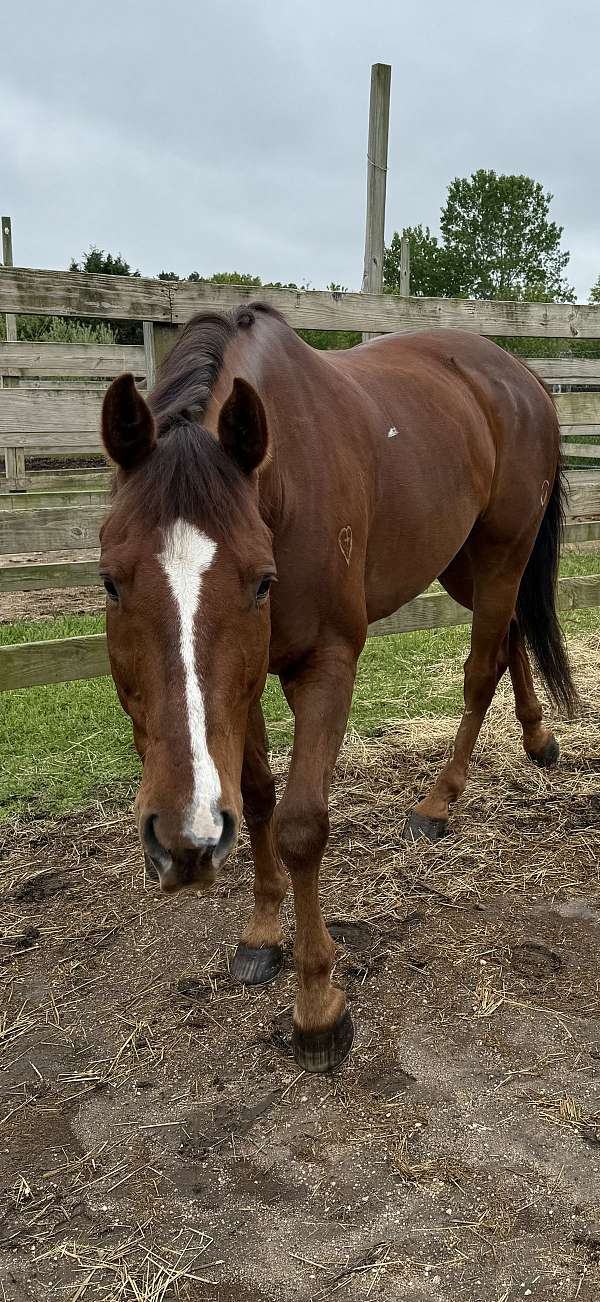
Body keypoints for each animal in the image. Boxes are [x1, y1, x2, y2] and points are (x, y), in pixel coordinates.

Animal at [100, 303, 577, 1073]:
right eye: (110, 581)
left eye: (260, 581)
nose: (184, 840)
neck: (284, 482)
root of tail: (522, 374)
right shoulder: (242, 687)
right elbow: (256, 798)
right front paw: (263, 932)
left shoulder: (327, 664)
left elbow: (300, 826)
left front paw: (319, 1008)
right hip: (464, 563)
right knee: (509, 638)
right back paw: (537, 738)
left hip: (505, 551)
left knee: (481, 668)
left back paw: (438, 802)